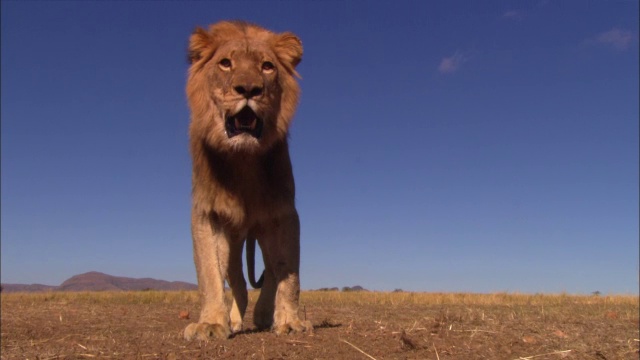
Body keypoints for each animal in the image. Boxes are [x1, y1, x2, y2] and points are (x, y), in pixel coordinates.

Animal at [181, 19, 312, 340]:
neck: (243, 158)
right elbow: (209, 274)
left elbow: (288, 272)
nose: (249, 89)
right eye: (225, 63)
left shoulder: (283, 214)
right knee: (237, 281)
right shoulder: (208, 213)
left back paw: (264, 314)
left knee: (269, 272)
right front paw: (211, 324)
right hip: (234, 240)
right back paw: (235, 320)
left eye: (267, 66)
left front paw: (290, 321)